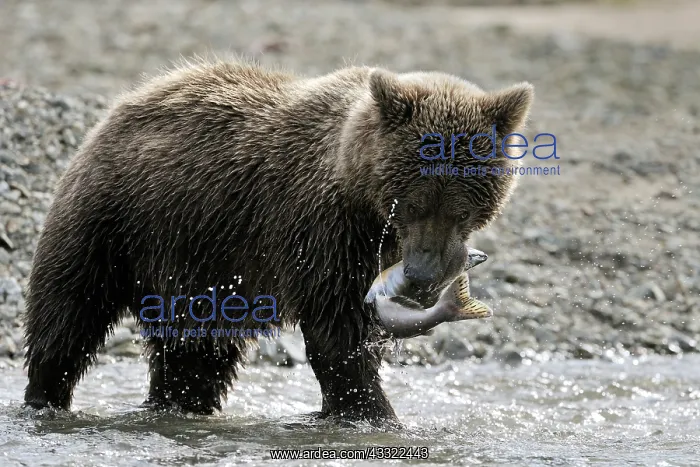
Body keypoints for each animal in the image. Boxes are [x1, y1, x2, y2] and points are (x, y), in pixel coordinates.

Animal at [23, 58, 533, 424]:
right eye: (411, 204)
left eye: (461, 210)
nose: (424, 276)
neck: (360, 194)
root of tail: (124, 103)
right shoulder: (318, 224)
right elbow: (336, 325)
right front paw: (373, 411)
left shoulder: (373, 242)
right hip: (115, 222)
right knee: (68, 313)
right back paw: (44, 397)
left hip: (197, 265)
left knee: (196, 352)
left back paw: (179, 405)